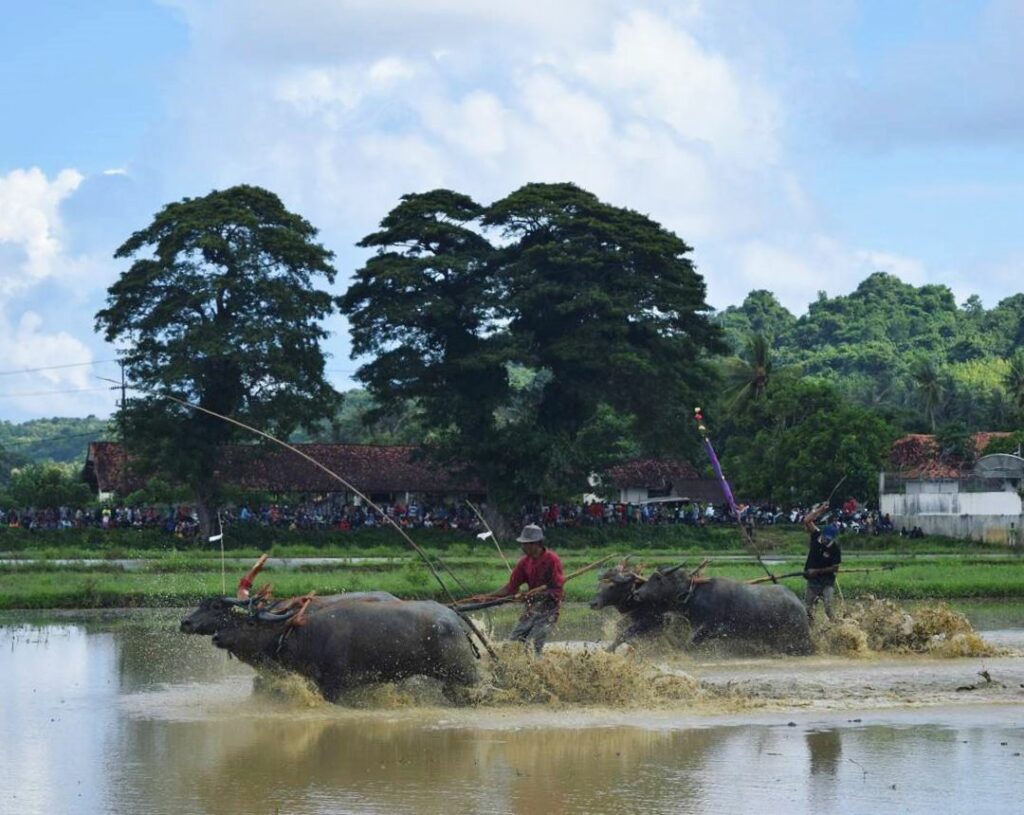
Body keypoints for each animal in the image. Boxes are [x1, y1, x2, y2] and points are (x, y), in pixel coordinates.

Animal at [208, 593, 483, 704]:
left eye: (250, 623)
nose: (217, 636)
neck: (304, 633)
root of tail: (455, 618)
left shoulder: (335, 685)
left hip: (465, 672)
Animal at [630, 565, 815, 655]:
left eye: (658, 578)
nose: (637, 593)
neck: (695, 595)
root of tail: (800, 604)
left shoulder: (707, 628)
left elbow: (688, 645)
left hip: (800, 637)